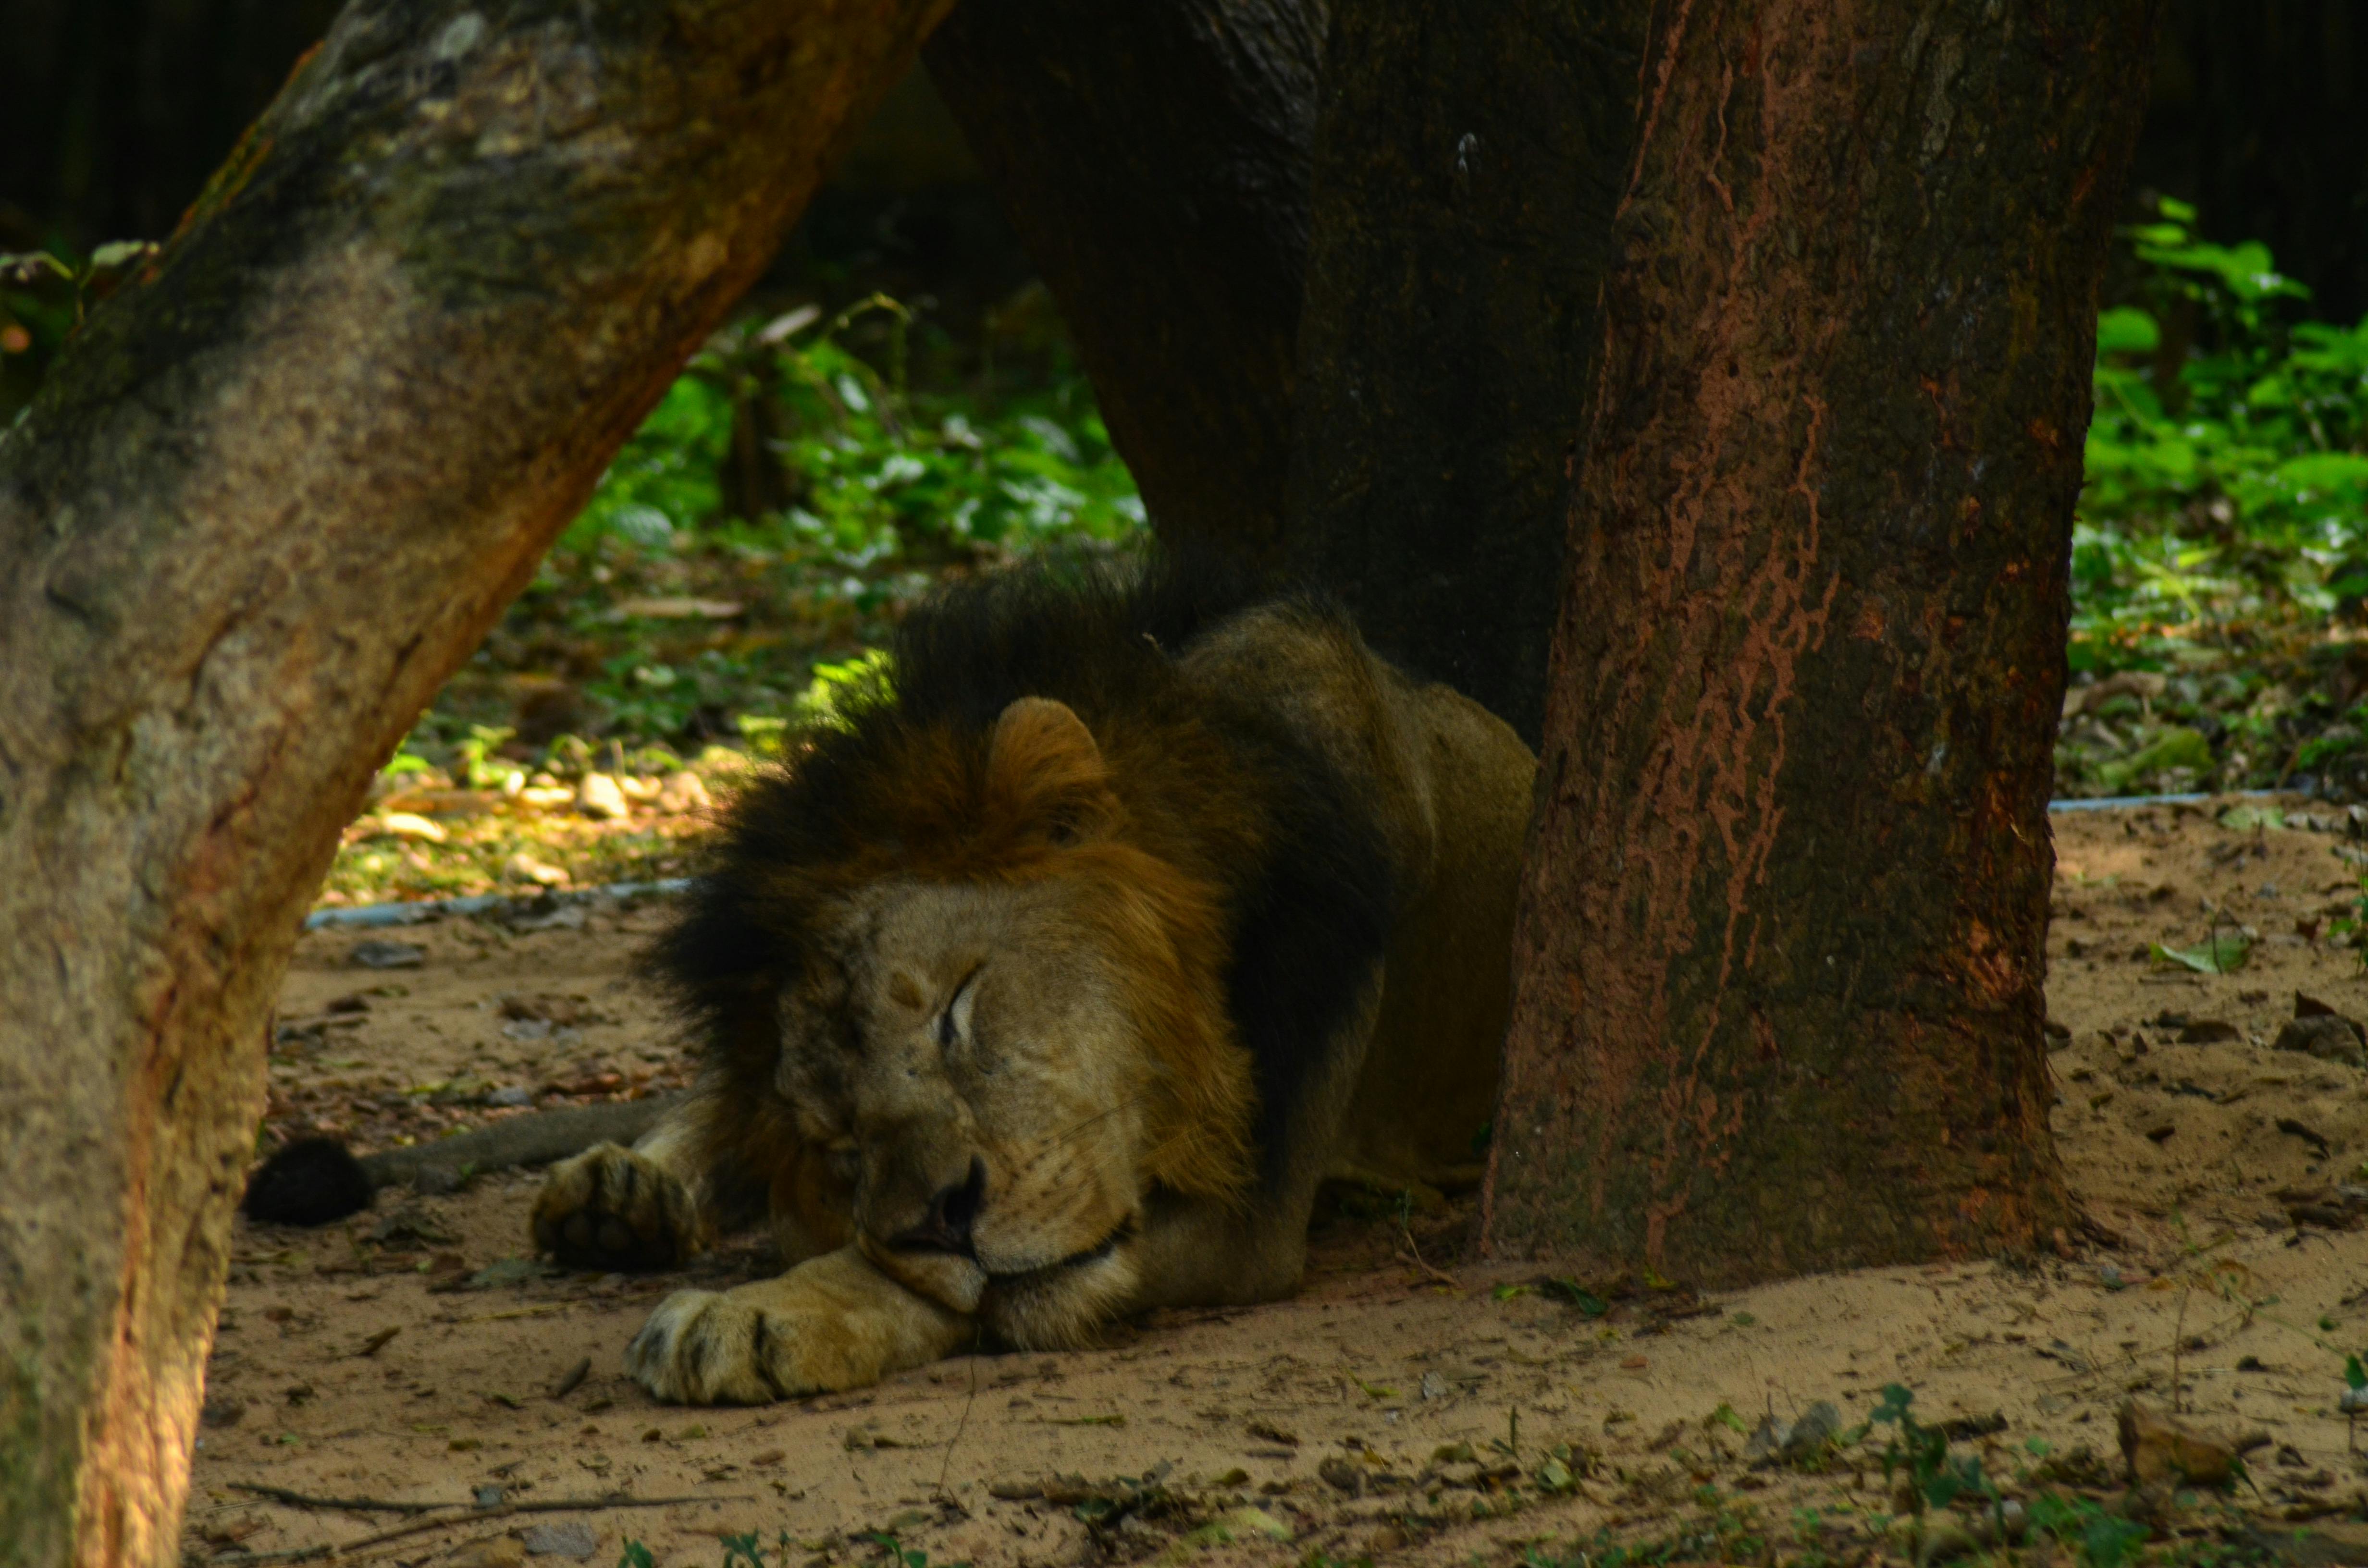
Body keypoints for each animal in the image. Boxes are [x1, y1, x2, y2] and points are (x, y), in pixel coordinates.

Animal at [530, 559, 1534, 1402]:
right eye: (839, 1141)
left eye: (954, 1010)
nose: (944, 1217)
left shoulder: (1257, 1211)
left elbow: (912, 1274)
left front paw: (754, 1313)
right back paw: (616, 1192)